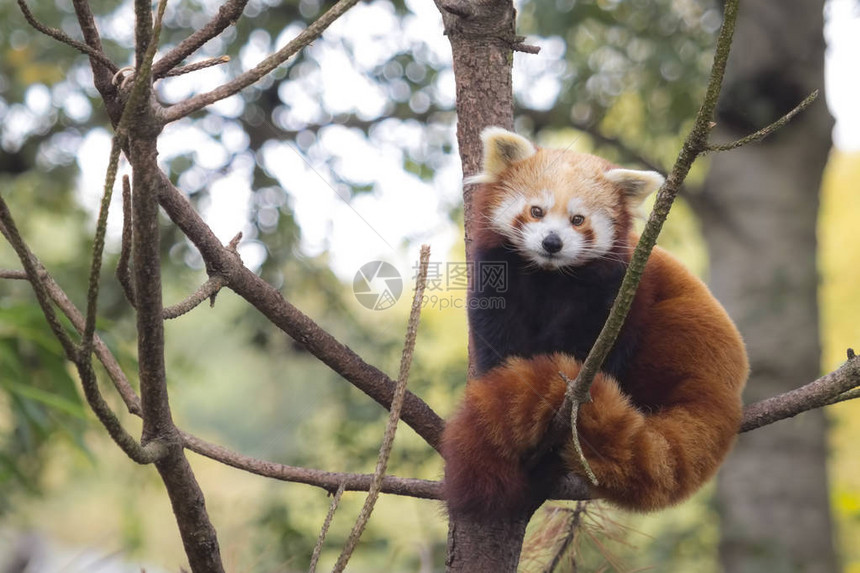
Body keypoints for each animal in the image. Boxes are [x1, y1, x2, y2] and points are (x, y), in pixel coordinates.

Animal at [440, 127, 748, 516]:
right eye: (536, 211)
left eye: (578, 219)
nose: (552, 242)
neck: (549, 276)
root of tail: (724, 390)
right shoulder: (499, 276)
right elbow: (498, 337)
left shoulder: (618, 290)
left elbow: (591, 343)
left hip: (675, 338)